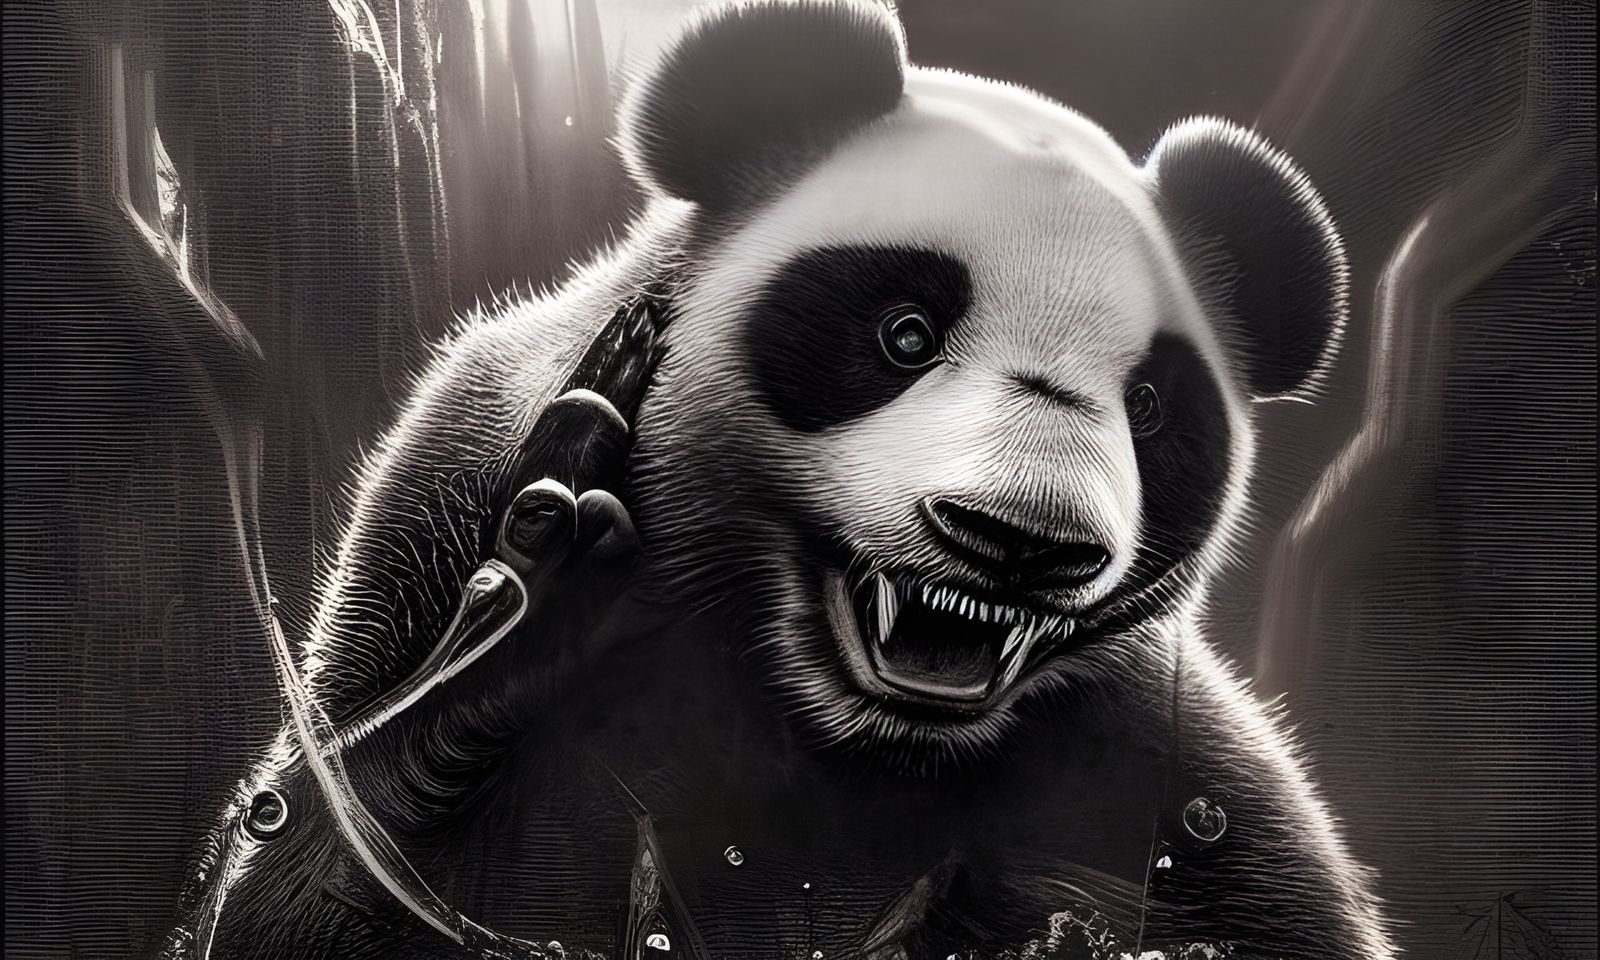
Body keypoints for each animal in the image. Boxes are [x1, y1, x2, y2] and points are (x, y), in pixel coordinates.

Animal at [174, 2, 1396, 958]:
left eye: (1148, 408)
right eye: (903, 334)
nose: (1018, 540)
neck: (836, 719)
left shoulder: (1157, 765)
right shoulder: (436, 501)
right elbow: (292, 894)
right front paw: (543, 587)